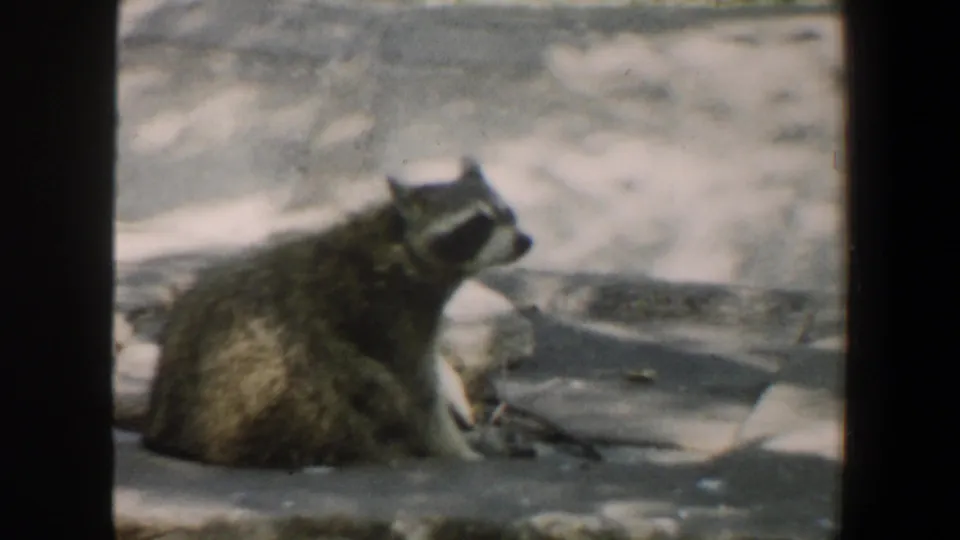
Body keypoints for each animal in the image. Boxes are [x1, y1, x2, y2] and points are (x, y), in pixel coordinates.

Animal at [141, 157, 533, 469]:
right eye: (478, 224)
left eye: (507, 213)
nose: (524, 241)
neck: (399, 245)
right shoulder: (390, 316)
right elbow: (419, 394)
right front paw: (457, 448)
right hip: (265, 397)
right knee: (339, 375)